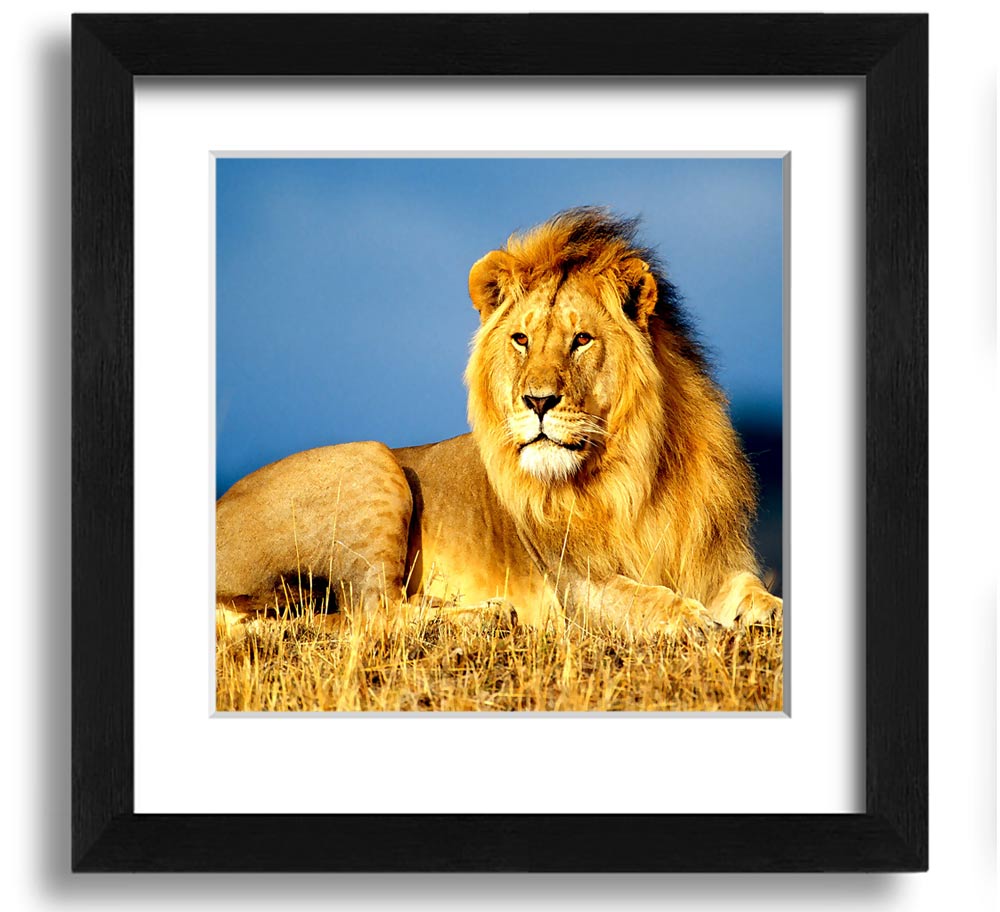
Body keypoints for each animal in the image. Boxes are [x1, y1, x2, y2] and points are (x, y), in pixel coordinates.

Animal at [216, 207, 781, 635]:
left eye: (581, 339)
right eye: (521, 339)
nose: (538, 401)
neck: (635, 472)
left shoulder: (714, 561)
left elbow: (754, 591)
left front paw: (763, 613)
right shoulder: (577, 586)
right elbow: (644, 599)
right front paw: (694, 620)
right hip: (370, 460)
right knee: (372, 615)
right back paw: (487, 614)